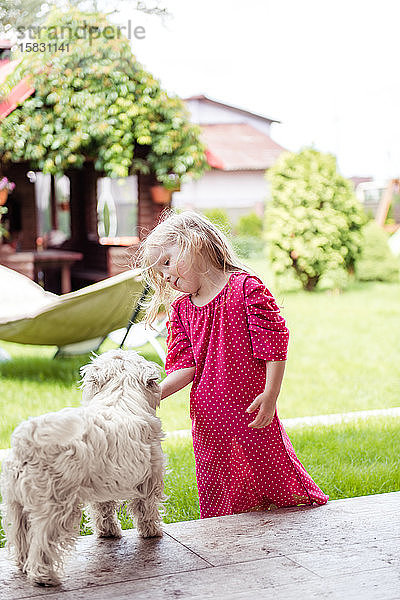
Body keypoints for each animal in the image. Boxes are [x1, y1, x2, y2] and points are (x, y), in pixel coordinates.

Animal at [0, 346, 166, 584]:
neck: (119, 396)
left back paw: (23, 565)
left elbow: (103, 509)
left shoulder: (104, 482)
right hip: (56, 506)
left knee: (21, 536)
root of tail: (28, 441)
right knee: (42, 542)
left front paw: (108, 532)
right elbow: (146, 508)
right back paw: (45, 577)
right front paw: (152, 531)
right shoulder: (149, 476)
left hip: (16, 505)